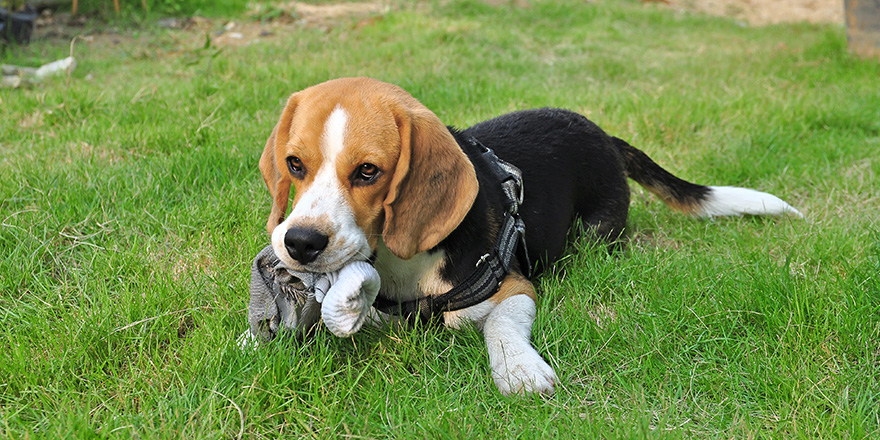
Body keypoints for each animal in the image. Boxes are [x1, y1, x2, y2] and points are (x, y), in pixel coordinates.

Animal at [258, 76, 800, 396]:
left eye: (368, 172)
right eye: (294, 164)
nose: (300, 243)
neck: (399, 262)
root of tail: (604, 135)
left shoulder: (514, 286)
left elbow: (501, 324)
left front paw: (519, 370)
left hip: (595, 236)